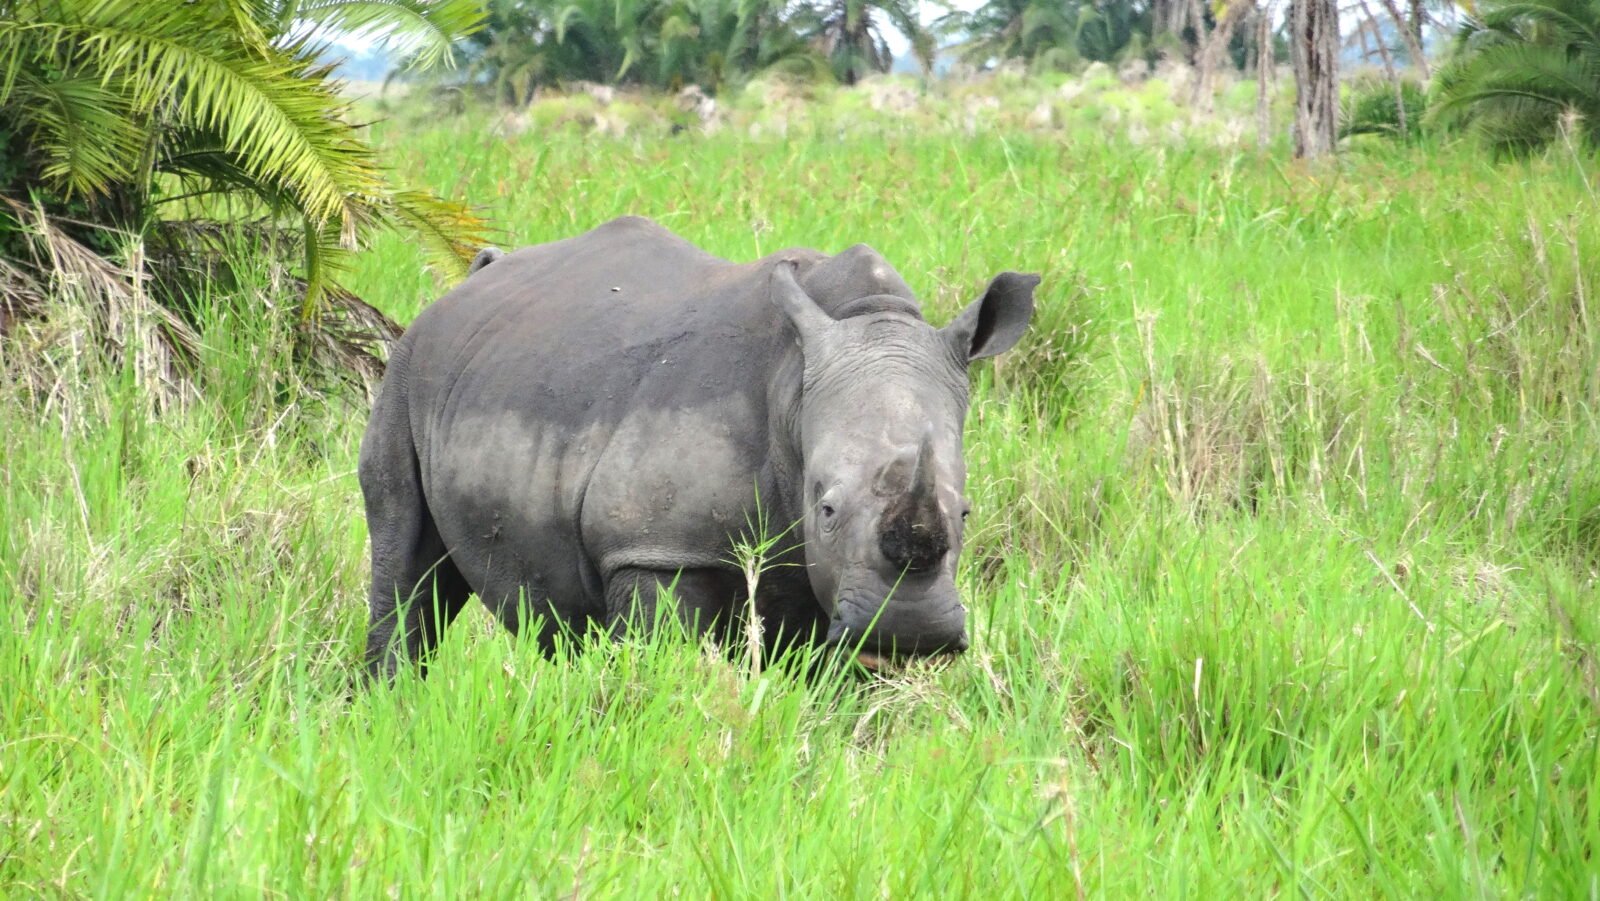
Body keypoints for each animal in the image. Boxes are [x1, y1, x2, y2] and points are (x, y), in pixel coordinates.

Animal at [359, 216, 1038, 678]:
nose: (910, 632)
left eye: (966, 513)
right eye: (826, 509)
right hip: (407, 366)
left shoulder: (842, 593)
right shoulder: (654, 547)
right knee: (405, 563)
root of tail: (471, 279)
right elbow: (662, 665)